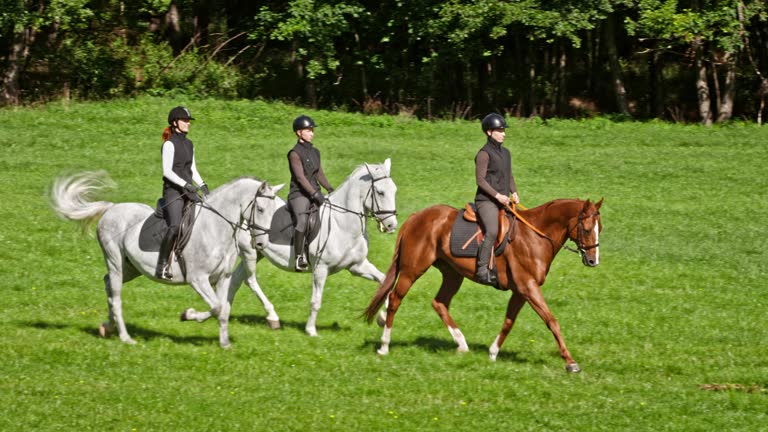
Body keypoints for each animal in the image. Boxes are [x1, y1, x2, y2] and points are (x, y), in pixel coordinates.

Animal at [51, 171, 284, 348]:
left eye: (275, 212)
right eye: (260, 209)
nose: (261, 245)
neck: (216, 227)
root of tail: (111, 208)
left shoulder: (222, 278)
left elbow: (223, 310)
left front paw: (224, 344)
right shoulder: (198, 279)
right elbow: (217, 307)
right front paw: (187, 315)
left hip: (131, 267)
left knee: (107, 283)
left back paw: (107, 327)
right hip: (115, 260)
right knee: (115, 295)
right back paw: (126, 338)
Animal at [225, 159, 396, 334]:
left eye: (394, 190)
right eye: (381, 192)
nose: (391, 225)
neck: (342, 223)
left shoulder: (357, 266)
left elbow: (385, 282)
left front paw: (383, 318)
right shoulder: (321, 268)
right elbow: (316, 301)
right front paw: (311, 330)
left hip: (257, 252)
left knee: (235, 280)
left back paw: (223, 311)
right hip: (250, 252)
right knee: (250, 280)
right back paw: (272, 317)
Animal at [364, 199, 604, 372]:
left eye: (599, 228)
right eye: (586, 228)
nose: (593, 261)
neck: (534, 237)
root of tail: (417, 216)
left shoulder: (521, 291)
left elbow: (509, 322)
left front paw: (493, 352)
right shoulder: (528, 287)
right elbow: (551, 321)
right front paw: (570, 362)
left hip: (452, 274)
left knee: (439, 303)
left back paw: (461, 344)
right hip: (411, 270)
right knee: (395, 299)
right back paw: (384, 345)